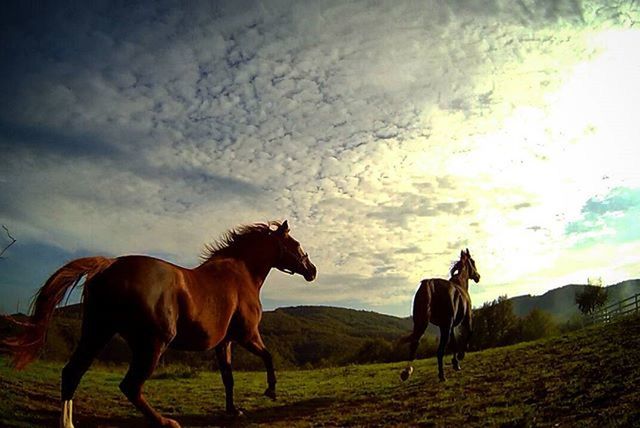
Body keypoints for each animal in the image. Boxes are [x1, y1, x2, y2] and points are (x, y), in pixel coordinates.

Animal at [1, 221, 316, 428]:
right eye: (295, 244)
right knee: (130, 386)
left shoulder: (224, 343)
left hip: (97, 333)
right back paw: (166, 422)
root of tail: (108, 265)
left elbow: (228, 378)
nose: (312, 271)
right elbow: (269, 357)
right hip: (152, 343)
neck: (240, 274)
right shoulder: (248, 335)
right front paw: (271, 391)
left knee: (72, 373)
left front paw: (233, 411)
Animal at [400, 249, 480, 382]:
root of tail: (429, 283)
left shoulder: (450, 326)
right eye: (473, 262)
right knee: (440, 350)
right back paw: (442, 375)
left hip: (421, 323)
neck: (460, 283)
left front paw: (455, 363)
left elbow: (453, 342)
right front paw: (460, 356)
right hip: (445, 326)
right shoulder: (465, 318)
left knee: (414, 344)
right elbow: (469, 333)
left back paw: (406, 372)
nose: (478, 276)